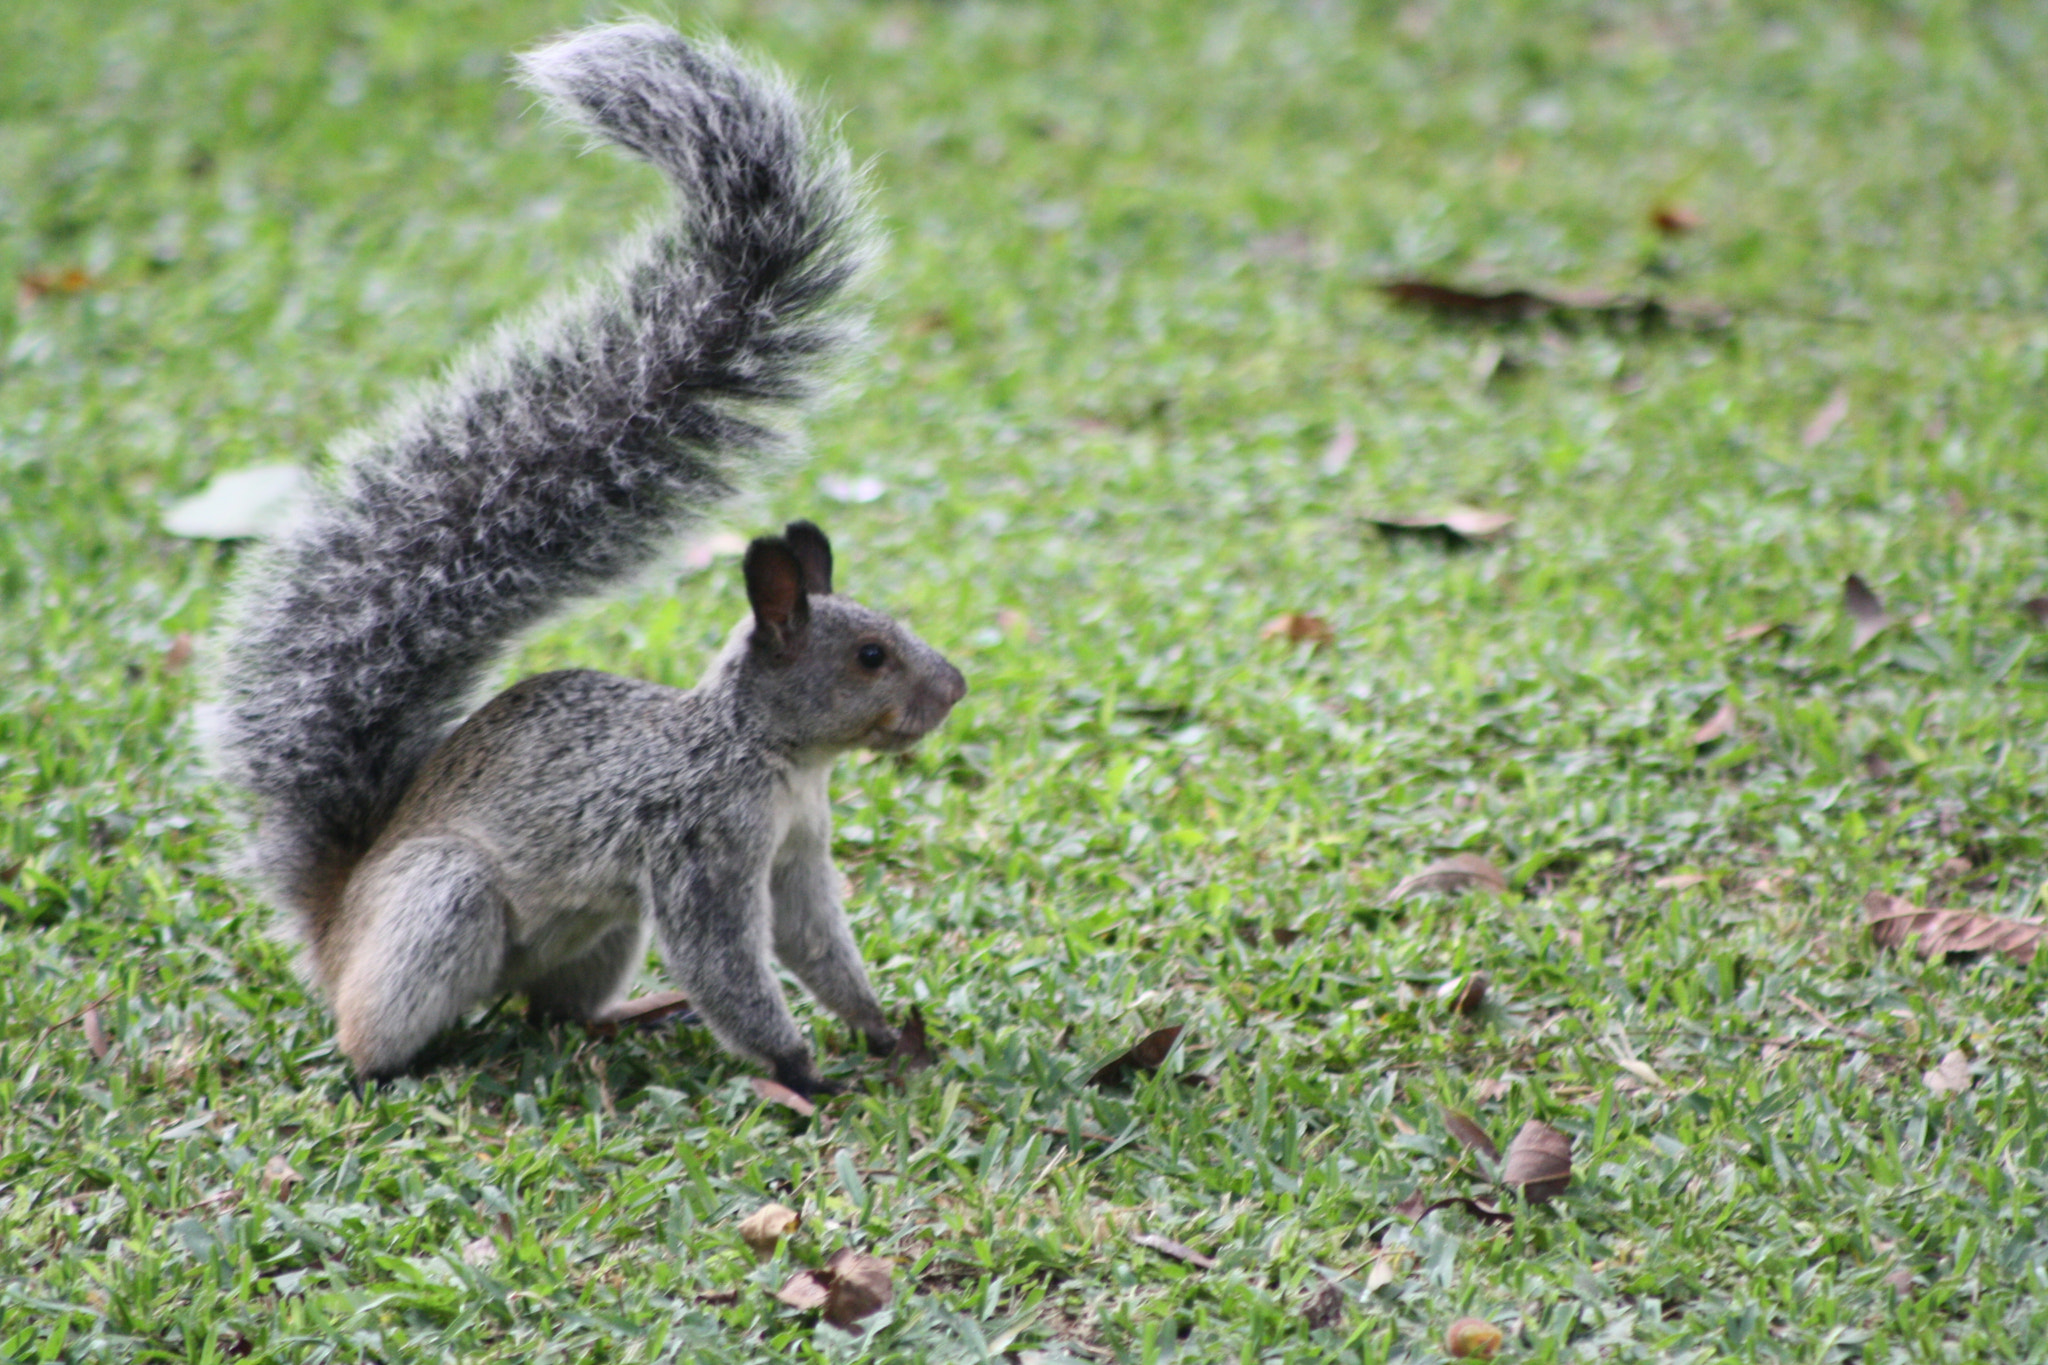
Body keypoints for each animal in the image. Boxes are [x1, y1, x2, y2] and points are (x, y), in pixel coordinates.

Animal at [205, 22, 966, 1097]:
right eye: (869, 656)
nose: (955, 688)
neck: (768, 757)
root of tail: (337, 925)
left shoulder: (797, 855)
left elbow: (818, 945)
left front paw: (881, 1028)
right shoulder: (696, 849)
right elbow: (728, 961)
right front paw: (798, 1068)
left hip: (601, 930)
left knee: (550, 1010)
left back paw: (620, 1019)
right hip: (446, 901)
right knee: (377, 1030)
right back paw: (405, 1061)